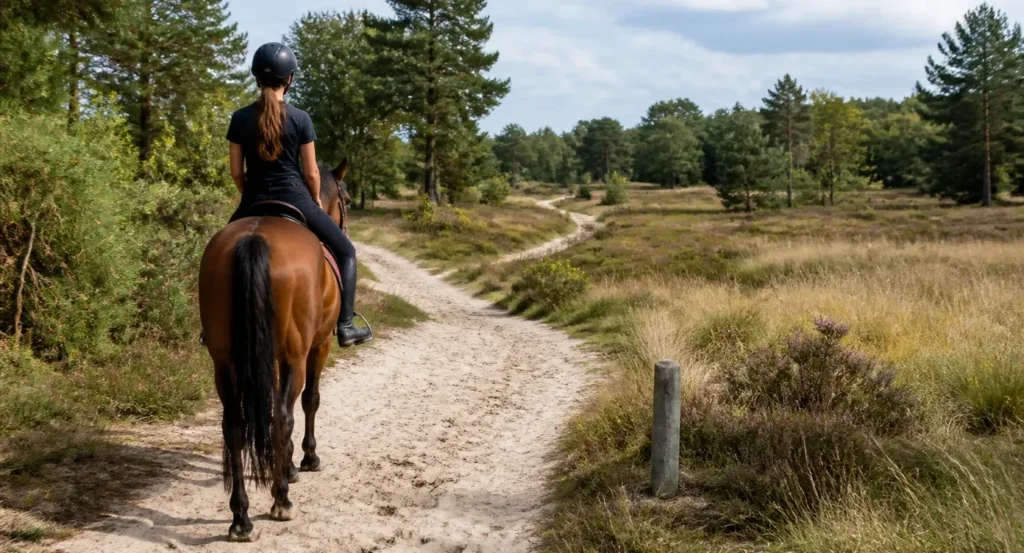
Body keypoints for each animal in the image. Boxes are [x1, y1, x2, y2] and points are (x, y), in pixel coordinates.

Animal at [198, 158, 350, 542]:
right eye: (347, 199)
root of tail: (255, 238)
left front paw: (290, 462)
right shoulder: (317, 346)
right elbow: (309, 401)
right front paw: (305, 460)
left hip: (224, 362)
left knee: (234, 425)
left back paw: (241, 518)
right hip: (296, 354)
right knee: (282, 414)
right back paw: (281, 500)